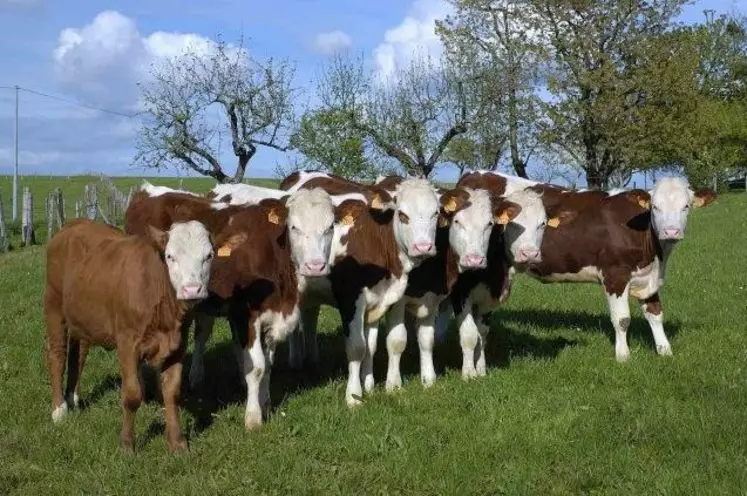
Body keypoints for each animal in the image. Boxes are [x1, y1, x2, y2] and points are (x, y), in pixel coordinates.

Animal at [44, 219, 213, 452]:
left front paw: (177, 442)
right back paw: (59, 409)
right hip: (54, 306)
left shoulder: (178, 344)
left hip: (82, 316)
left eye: (209, 255)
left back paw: (72, 399)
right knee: (57, 354)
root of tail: (72, 225)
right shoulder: (128, 342)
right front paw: (127, 445)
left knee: (78, 356)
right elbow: (132, 394)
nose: (192, 289)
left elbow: (172, 393)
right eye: (170, 256)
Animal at [458, 170, 716, 360]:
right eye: (655, 207)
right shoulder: (615, 276)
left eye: (685, 206)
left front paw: (665, 350)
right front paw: (623, 356)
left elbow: (655, 313)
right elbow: (622, 319)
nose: (671, 231)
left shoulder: (649, 277)